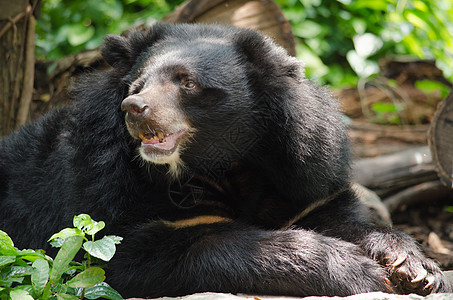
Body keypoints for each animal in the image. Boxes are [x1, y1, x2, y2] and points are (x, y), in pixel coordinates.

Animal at [0, 22, 450, 298]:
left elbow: (335, 214)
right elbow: (141, 253)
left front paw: (415, 268)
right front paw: (355, 270)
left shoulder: (304, 170)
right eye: (136, 84)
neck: (223, 162)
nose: (135, 108)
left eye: (186, 83)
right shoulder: (108, 186)